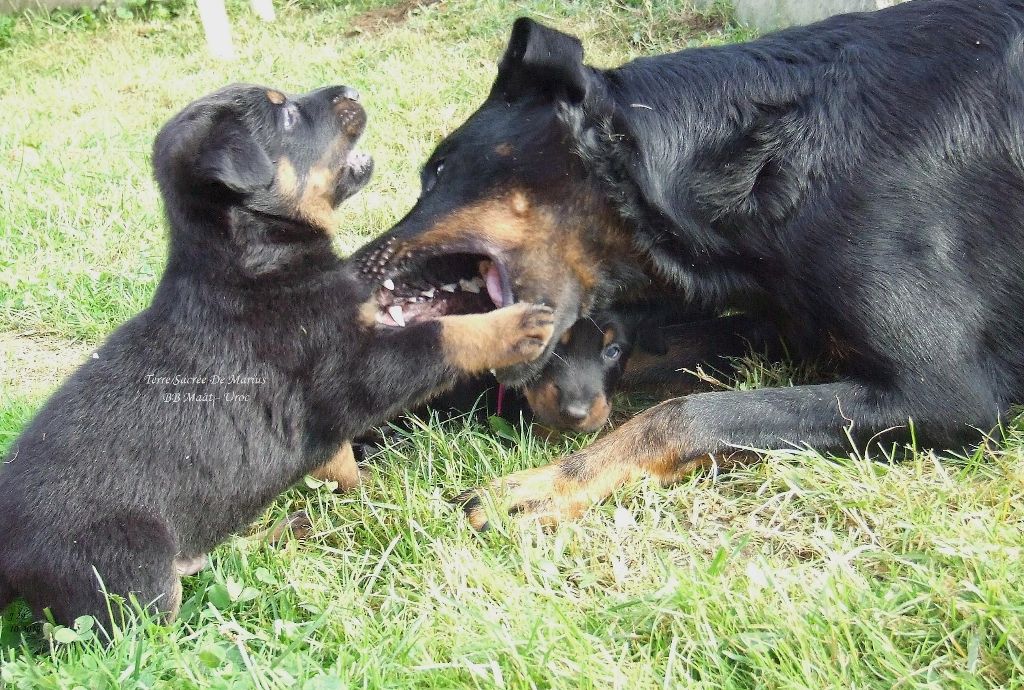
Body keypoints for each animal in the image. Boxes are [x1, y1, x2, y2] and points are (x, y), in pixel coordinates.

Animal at [0, 83, 552, 630]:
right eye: (285, 115)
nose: (351, 90)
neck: (254, 261)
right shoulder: (352, 368)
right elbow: (438, 336)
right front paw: (518, 324)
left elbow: (339, 454)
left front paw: (358, 488)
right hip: (131, 572)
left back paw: (286, 529)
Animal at [356, 1, 1024, 528]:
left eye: (438, 170)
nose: (353, 271)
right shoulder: (778, 323)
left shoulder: (949, 393)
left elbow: (685, 411)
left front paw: (547, 482)